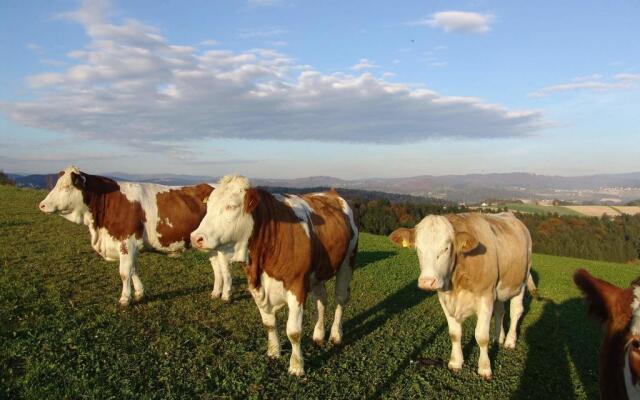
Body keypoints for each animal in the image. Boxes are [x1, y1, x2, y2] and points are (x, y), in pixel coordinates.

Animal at [38, 166, 232, 306]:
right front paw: (139, 293)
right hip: (207, 243)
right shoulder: (131, 246)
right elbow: (133, 270)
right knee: (216, 266)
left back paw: (226, 294)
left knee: (224, 267)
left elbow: (124, 273)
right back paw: (215, 293)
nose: (42, 205)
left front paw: (125, 299)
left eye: (66, 187)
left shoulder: (126, 242)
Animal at [190, 174, 360, 376]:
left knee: (340, 299)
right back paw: (318, 335)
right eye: (208, 206)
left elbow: (293, 332)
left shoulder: (297, 286)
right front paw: (273, 352)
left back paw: (335, 335)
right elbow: (269, 323)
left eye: (231, 206)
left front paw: (296, 366)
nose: (195, 238)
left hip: (347, 262)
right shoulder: (256, 286)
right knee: (321, 299)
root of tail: (332, 193)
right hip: (318, 272)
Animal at [416, 211, 536, 380]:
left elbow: (481, 337)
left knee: (515, 312)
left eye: (446, 248)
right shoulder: (445, 299)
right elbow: (454, 334)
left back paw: (510, 341)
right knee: (500, 312)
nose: (427, 281)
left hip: (521, 281)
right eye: (418, 248)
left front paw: (485, 368)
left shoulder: (485, 297)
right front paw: (455, 362)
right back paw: (498, 337)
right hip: (498, 289)